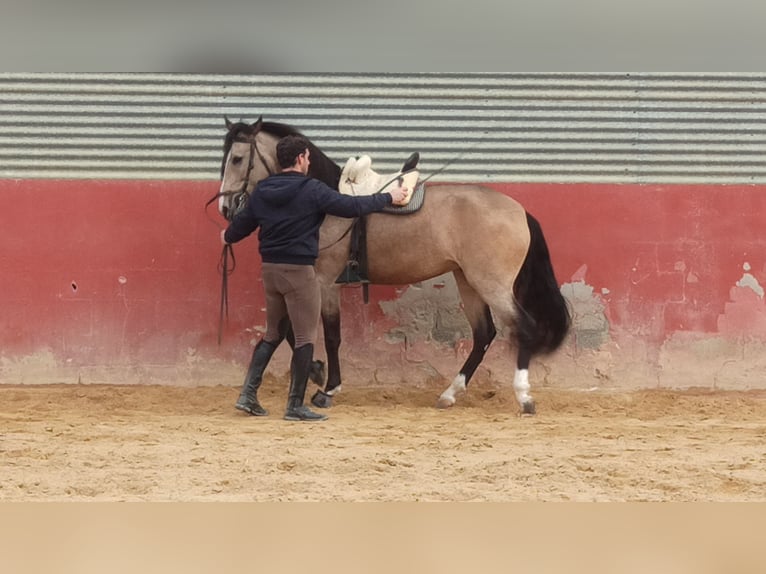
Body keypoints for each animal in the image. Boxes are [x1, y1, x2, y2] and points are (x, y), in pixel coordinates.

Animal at [216, 117, 568, 414]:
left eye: (237, 159)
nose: (225, 207)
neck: (325, 200)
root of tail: (519, 211)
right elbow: (288, 330)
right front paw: (316, 372)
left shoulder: (324, 282)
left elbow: (329, 335)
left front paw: (328, 388)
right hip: (468, 281)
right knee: (484, 334)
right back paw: (449, 394)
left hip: (490, 284)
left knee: (522, 327)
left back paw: (523, 396)